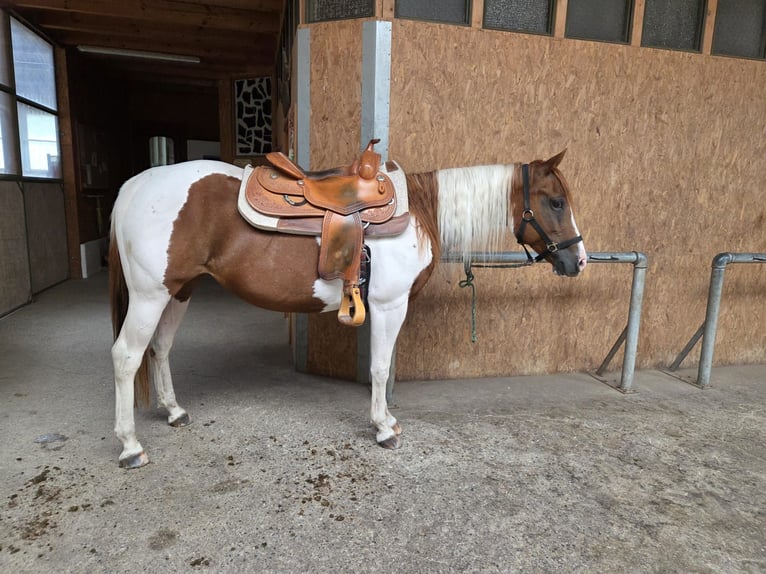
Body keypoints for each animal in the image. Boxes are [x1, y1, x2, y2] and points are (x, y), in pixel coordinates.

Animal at [108, 148, 587, 468]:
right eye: (556, 201)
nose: (578, 261)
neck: (418, 212)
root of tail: (135, 185)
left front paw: (386, 420)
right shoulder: (389, 306)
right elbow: (379, 367)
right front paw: (384, 428)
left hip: (179, 291)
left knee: (160, 349)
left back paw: (174, 412)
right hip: (151, 295)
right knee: (127, 356)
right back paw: (130, 446)